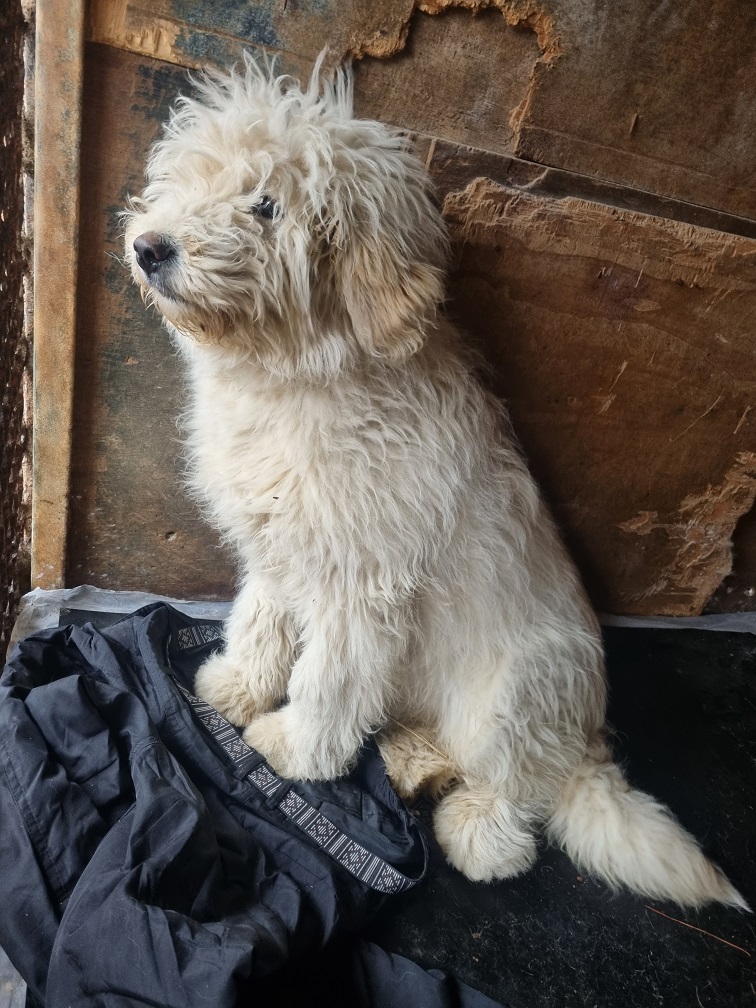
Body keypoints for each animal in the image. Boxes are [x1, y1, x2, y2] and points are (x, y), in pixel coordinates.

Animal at [124, 53, 745, 907]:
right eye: (190, 179)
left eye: (266, 204)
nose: (150, 247)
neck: (299, 381)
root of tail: (579, 744)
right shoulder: (281, 551)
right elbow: (260, 623)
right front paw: (234, 685)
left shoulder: (361, 583)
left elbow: (328, 678)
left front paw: (292, 746)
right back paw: (416, 759)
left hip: (513, 696)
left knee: (518, 792)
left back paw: (479, 830)